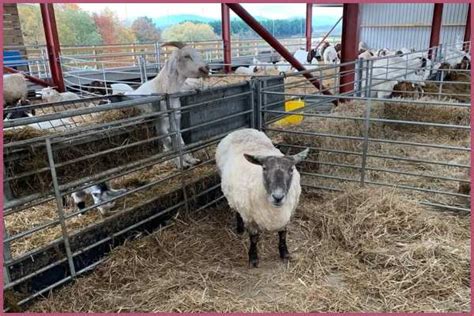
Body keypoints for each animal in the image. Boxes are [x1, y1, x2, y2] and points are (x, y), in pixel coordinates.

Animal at [216, 128, 312, 266]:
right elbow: (254, 238)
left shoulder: (288, 215)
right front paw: (253, 258)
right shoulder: (250, 218)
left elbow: (283, 234)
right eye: (264, 168)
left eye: (291, 169)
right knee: (237, 211)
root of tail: (241, 130)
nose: (278, 197)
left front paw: (284, 253)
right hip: (235, 198)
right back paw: (240, 229)